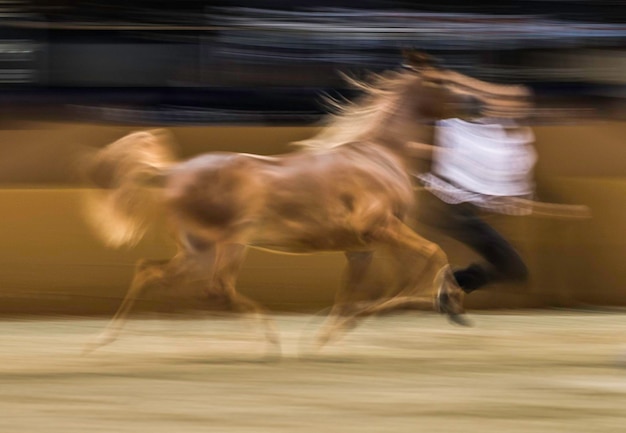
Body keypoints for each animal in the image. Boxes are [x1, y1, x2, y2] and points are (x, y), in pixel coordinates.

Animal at [83, 52, 492, 352]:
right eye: (441, 81)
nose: (479, 103)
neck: (379, 156)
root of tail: (173, 172)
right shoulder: (379, 227)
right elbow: (433, 255)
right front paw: (447, 300)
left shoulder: (363, 246)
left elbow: (364, 289)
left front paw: (329, 334)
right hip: (232, 241)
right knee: (216, 287)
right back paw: (269, 340)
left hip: (198, 248)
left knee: (149, 271)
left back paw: (103, 340)